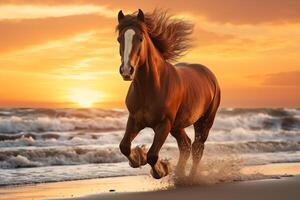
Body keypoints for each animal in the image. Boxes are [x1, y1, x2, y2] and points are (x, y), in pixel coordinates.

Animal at [116, 8, 220, 179]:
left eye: (140, 38)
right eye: (119, 39)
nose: (126, 70)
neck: (150, 89)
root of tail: (209, 75)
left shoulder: (164, 124)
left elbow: (152, 155)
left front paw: (161, 170)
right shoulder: (134, 119)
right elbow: (124, 146)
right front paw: (137, 159)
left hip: (204, 122)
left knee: (197, 148)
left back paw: (189, 178)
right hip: (177, 126)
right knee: (185, 145)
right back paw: (179, 174)